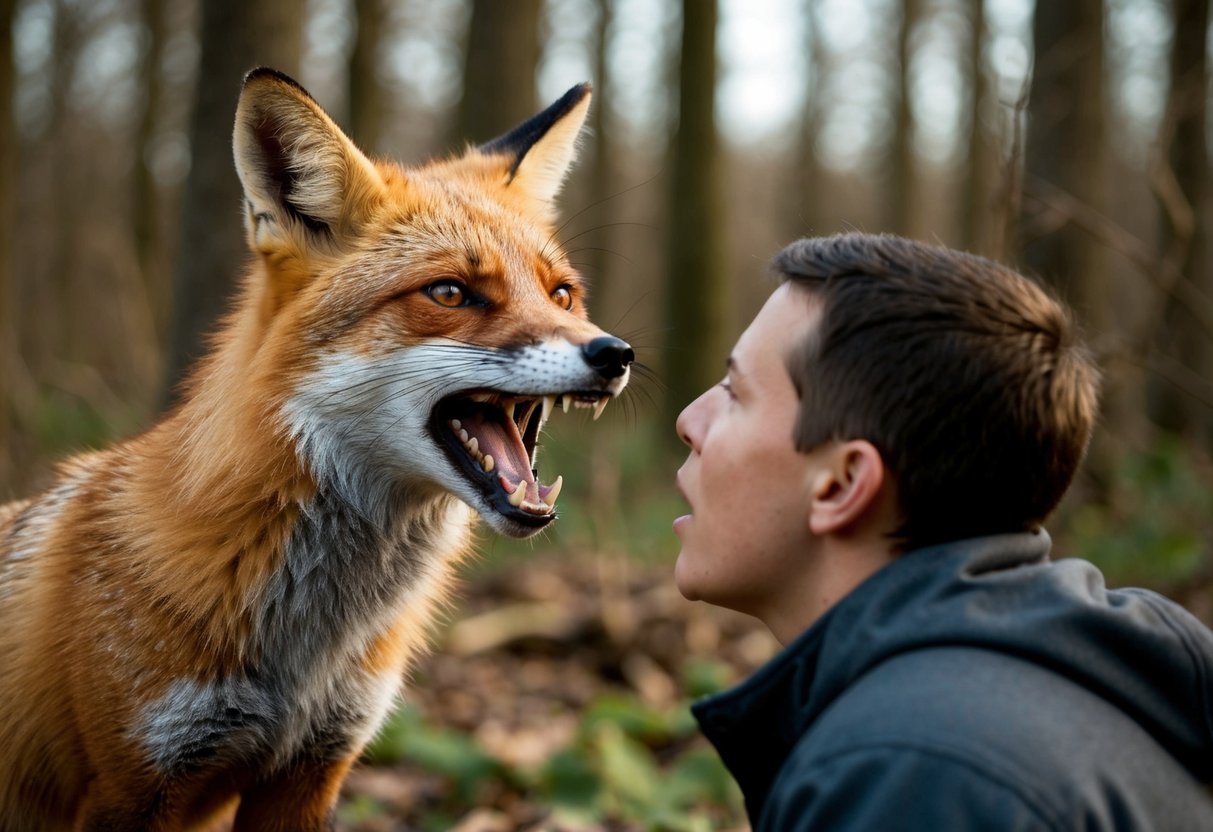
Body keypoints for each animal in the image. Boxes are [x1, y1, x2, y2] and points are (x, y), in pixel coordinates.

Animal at [0, 68, 632, 831]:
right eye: (450, 292)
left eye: (561, 294)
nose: (615, 353)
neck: (305, 655)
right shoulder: (133, 784)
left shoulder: (314, 768)